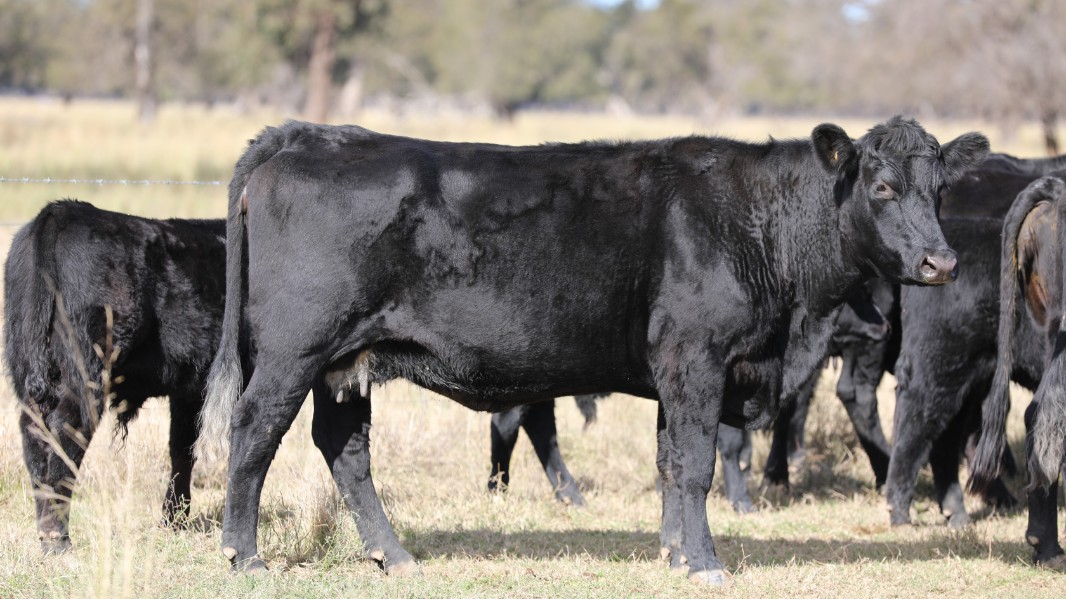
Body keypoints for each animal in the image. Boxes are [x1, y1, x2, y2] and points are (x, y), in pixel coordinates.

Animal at [3, 201, 228, 553]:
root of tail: (63, 210)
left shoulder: (189, 388)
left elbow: (182, 448)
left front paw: (173, 520)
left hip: (26, 367)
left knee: (35, 436)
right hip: (85, 374)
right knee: (65, 434)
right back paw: (58, 539)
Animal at [196, 117, 987, 585]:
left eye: (940, 189)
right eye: (882, 186)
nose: (943, 262)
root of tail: (306, 134)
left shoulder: (676, 373)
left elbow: (669, 464)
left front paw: (673, 552)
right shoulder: (697, 358)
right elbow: (696, 466)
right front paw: (705, 562)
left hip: (348, 362)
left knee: (345, 448)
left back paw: (393, 553)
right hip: (295, 350)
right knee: (254, 431)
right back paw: (244, 554)